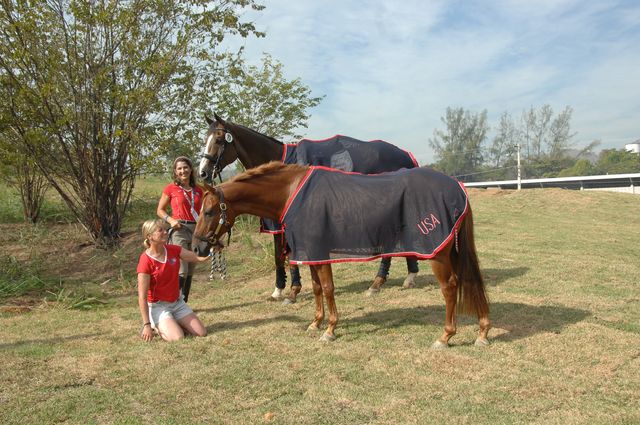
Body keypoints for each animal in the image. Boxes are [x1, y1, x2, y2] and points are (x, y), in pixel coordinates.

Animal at [190, 161, 490, 346]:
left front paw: (330, 330)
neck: (292, 192)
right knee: (468, 281)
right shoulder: (311, 253)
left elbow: (328, 288)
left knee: (449, 287)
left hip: (437, 252)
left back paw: (445, 337)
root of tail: (457, 187)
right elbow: (316, 289)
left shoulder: (319, 251)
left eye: (209, 211)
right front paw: (315, 323)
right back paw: (482, 331)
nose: (197, 247)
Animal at [198, 113, 422, 302]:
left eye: (219, 139)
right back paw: (407, 276)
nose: (203, 173)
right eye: (205, 139)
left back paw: (378, 282)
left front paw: (291, 291)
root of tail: (407, 156)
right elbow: (280, 256)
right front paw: (281, 290)